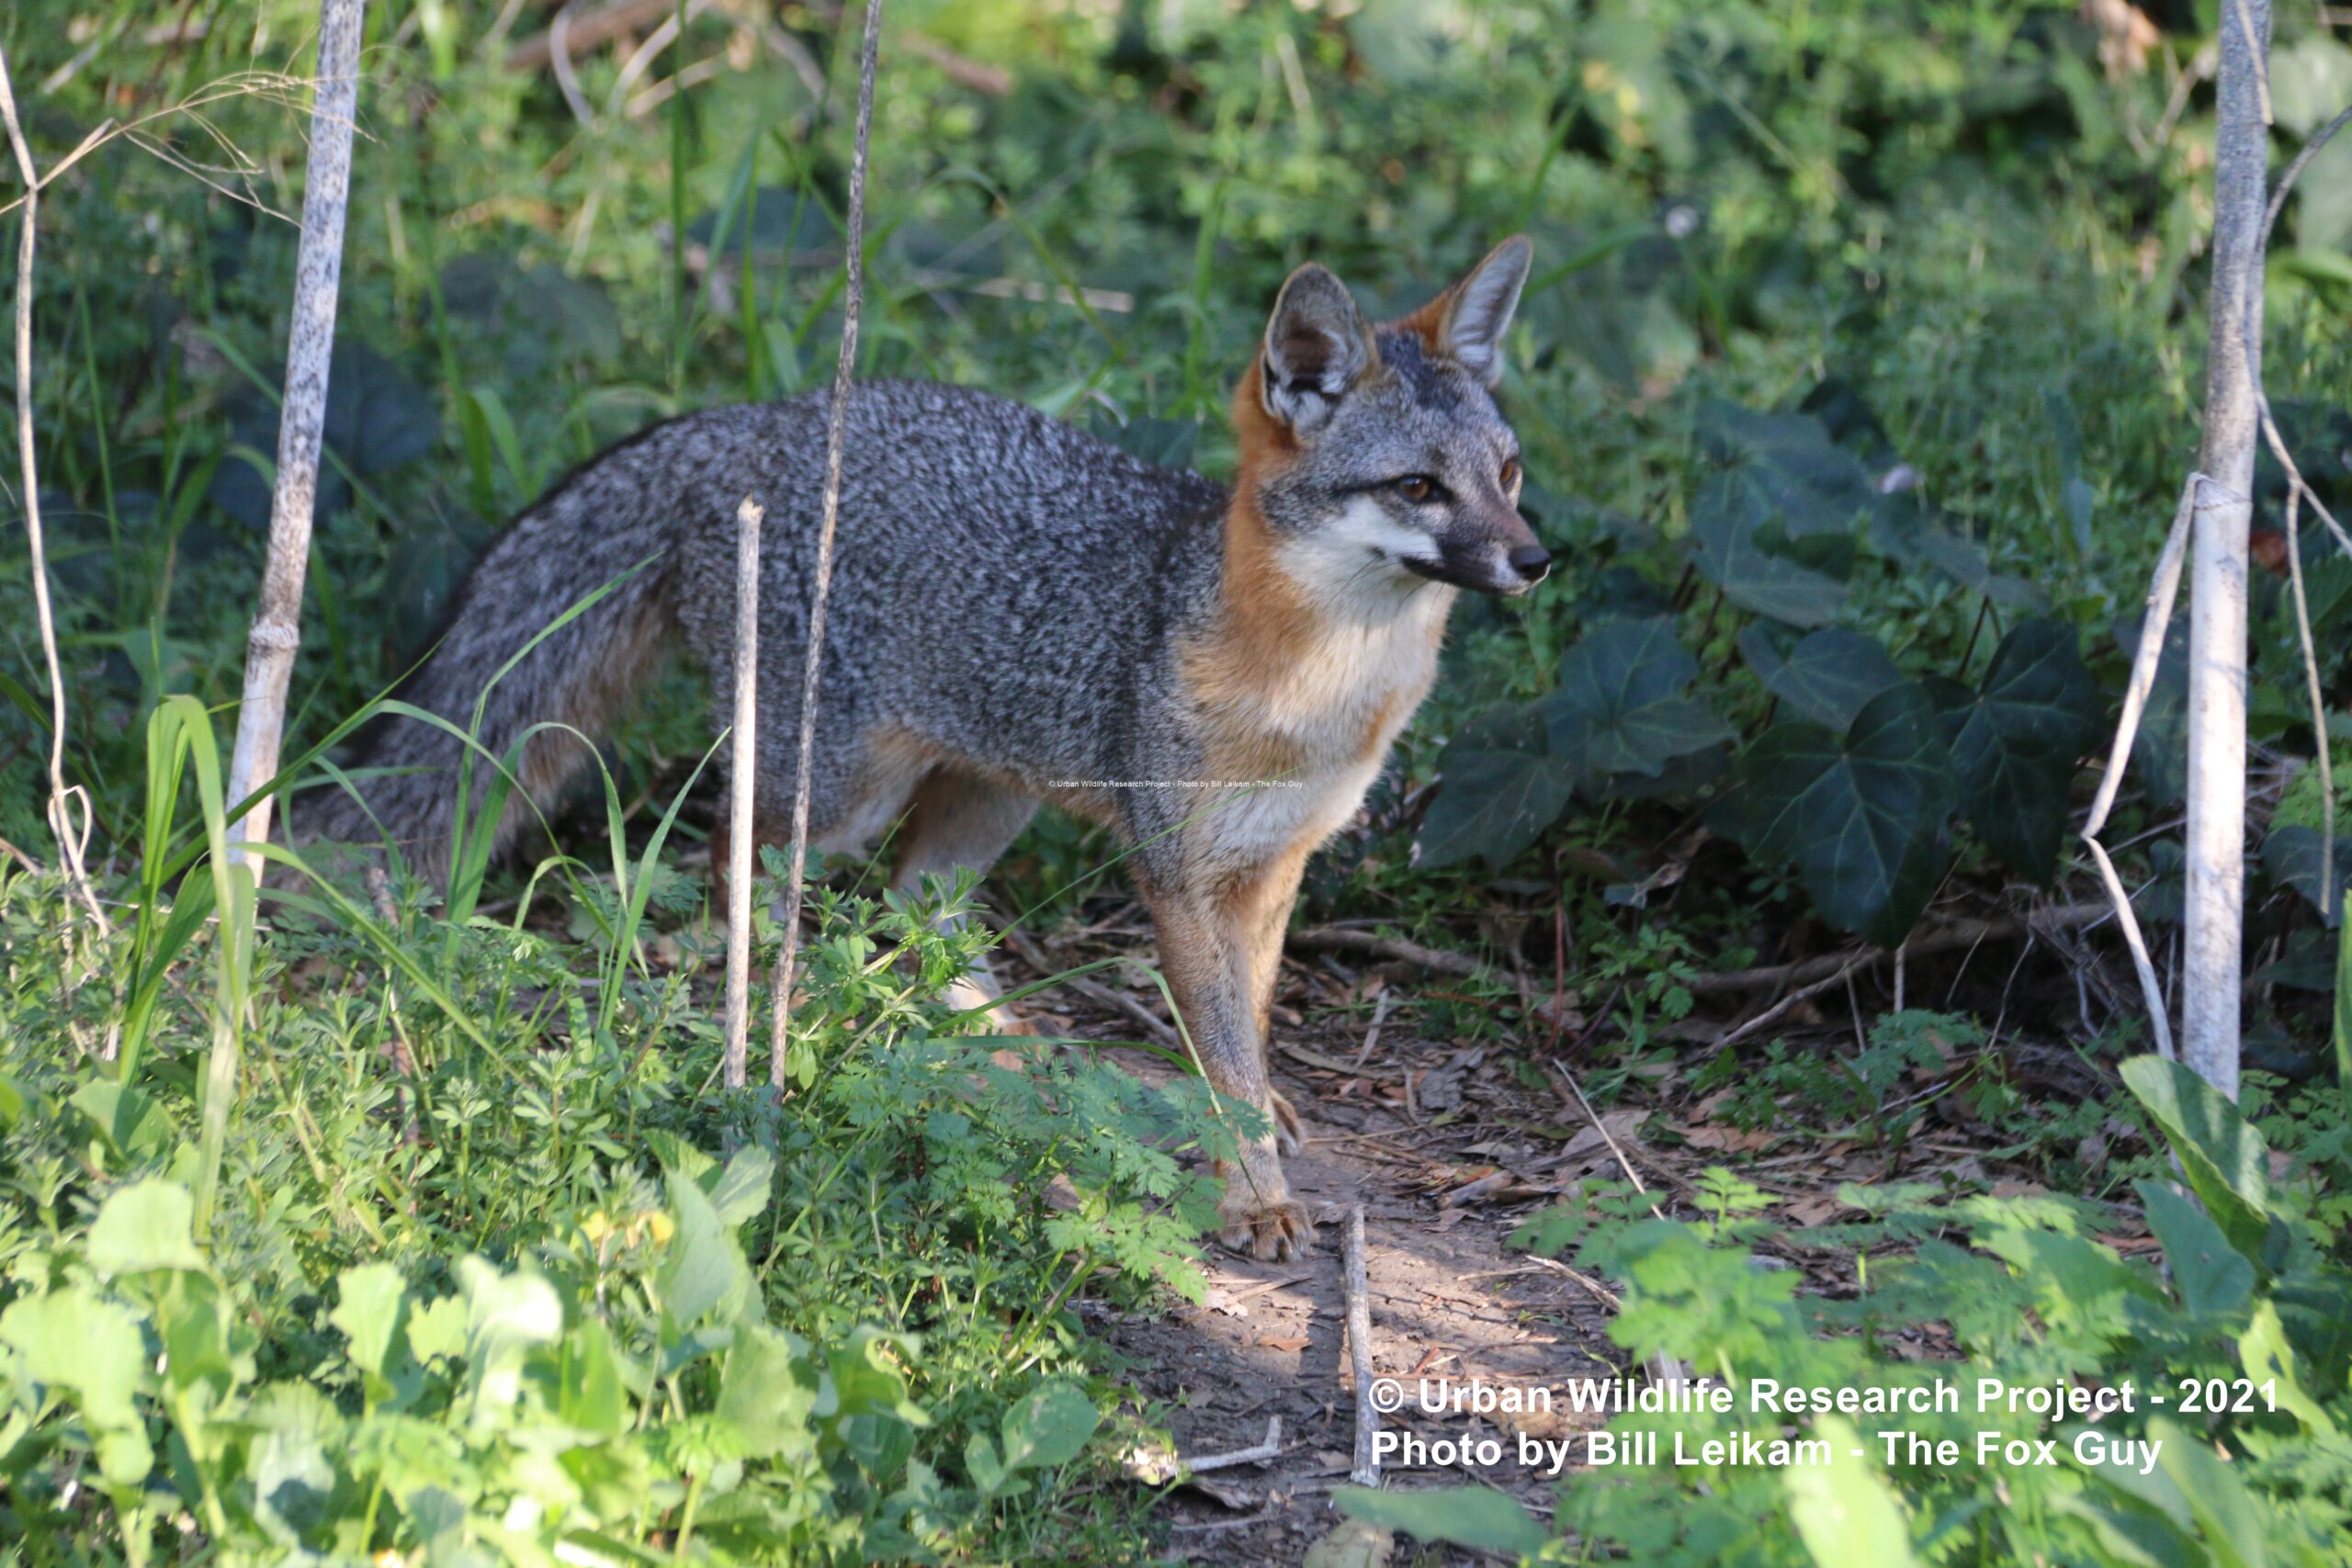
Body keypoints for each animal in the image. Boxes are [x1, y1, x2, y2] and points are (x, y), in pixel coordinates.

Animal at [306, 237, 1550, 1260]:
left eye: (1508, 473)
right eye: (1417, 487)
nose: (1536, 561)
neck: (1320, 690)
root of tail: (753, 416)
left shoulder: (1276, 862)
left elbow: (1246, 1015)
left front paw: (1260, 1111)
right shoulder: (1176, 873)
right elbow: (1223, 1045)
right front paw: (1254, 1194)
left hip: (994, 793)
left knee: (916, 901)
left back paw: (991, 1039)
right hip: (840, 788)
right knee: (735, 866)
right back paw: (776, 1016)